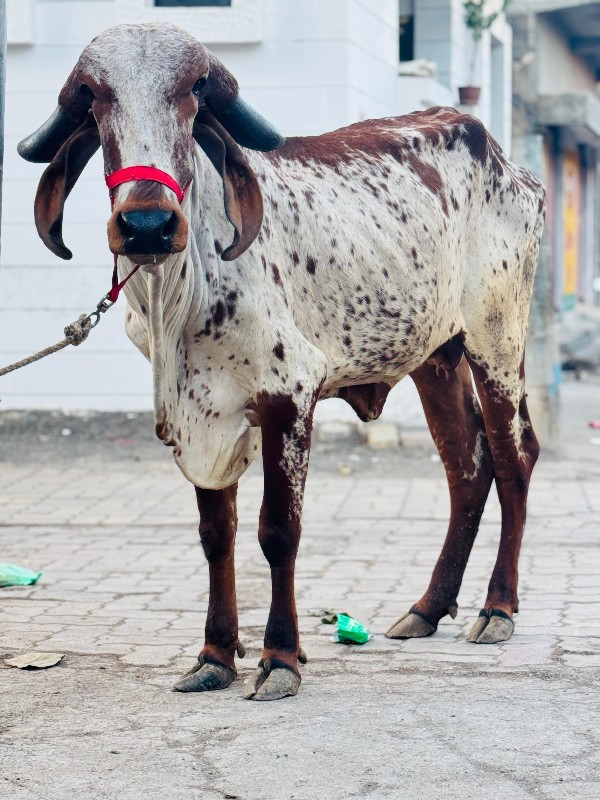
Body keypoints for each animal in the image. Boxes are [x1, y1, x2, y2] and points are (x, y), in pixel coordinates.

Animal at [18, 23, 544, 700]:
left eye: (194, 95)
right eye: (93, 99)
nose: (147, 224)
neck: (181, 295)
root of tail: (504, 160)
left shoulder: (288, 395)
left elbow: (277, 530)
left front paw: (280, 657)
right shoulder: (202, 415)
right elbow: (217, 535)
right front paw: (215, 654)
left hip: (496, 339)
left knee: (513, 457)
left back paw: (497, 608)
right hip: (437, 358)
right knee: (467, 466)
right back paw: (427, 608)